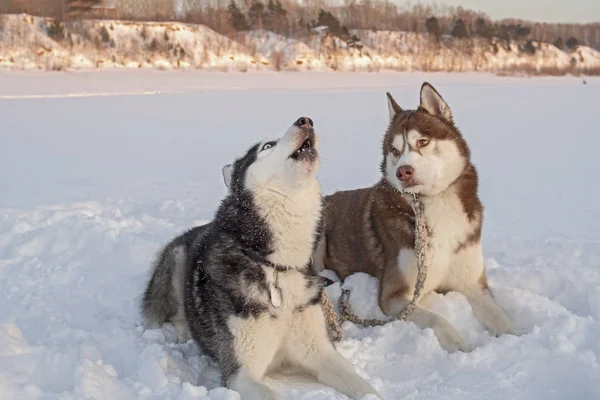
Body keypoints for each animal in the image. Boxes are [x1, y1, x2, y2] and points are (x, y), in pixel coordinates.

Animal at [141, 119, 380, 400]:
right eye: (267, 146)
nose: (305, 121)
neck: (277, 265)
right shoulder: (241, 373)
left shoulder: (319, 351)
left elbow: (364, 387)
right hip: (177, 260)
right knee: (177, 311)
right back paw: (183, 332)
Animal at [316, 83, 516, 352]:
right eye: (394, 151)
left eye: (423, 141)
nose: (403, 172)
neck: (434, 203)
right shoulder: (394, 295)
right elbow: (436, 318)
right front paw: (458, 342)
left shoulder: (473, 285)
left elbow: (499, 315)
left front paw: (516, 335)